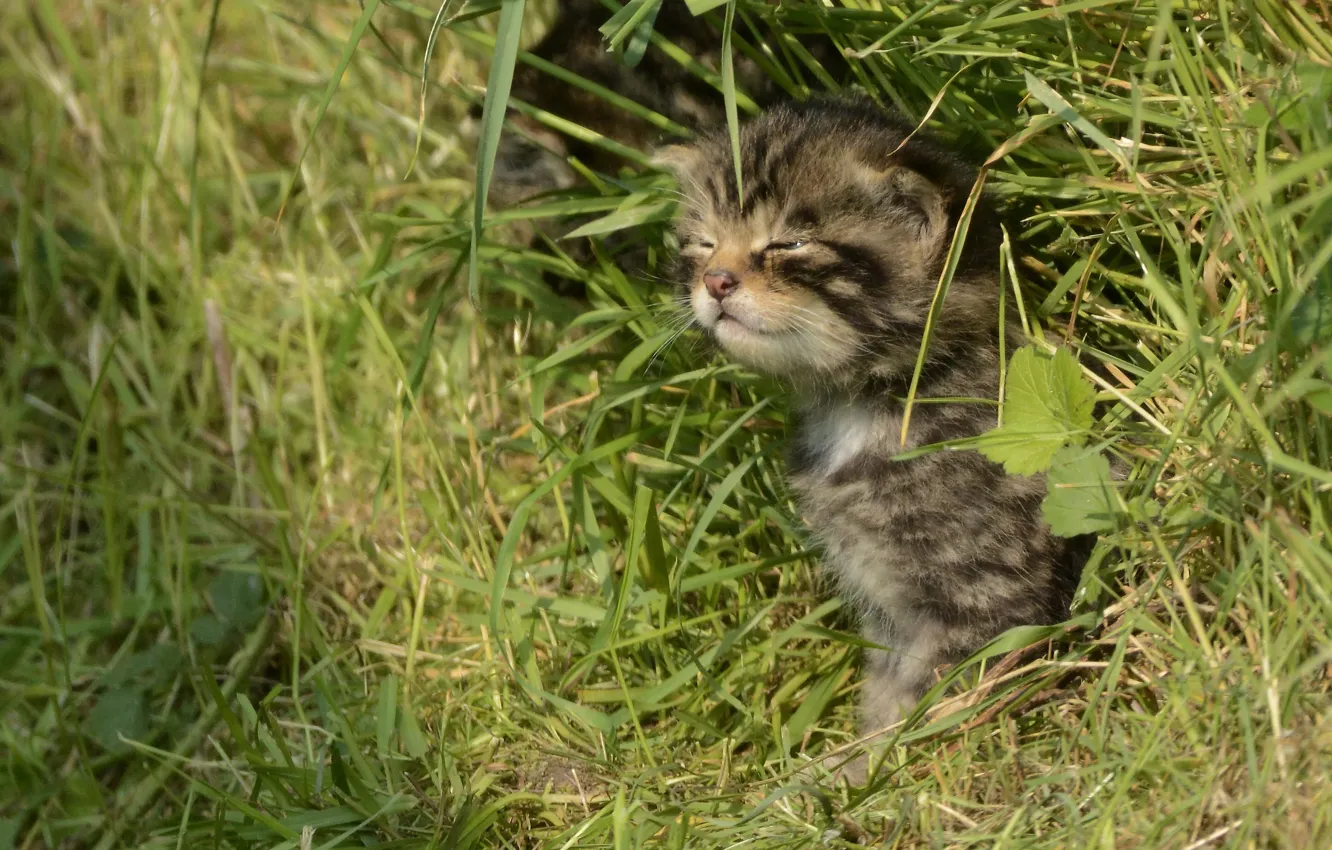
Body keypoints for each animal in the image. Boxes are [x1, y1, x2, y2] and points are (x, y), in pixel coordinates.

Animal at [658, 99, 1092, 778]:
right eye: (703, 243)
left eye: (790, 243)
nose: (716, 281)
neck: (870, 404)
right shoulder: (891, 616)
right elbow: (887, 692)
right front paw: (854, 767)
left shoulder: (989, 596)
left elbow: (931, 700)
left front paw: (872, 777)